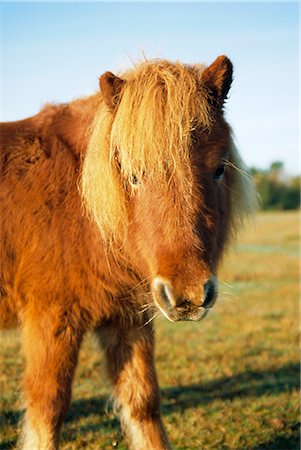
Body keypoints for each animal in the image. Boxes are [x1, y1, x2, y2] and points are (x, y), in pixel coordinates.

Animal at [0, 57, 254, 450]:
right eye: (133, 176)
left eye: (218, 169)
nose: (188, 295)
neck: (80, 210)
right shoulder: (50, 320)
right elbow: (48, 410)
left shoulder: (128, 319)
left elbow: (143, 404)